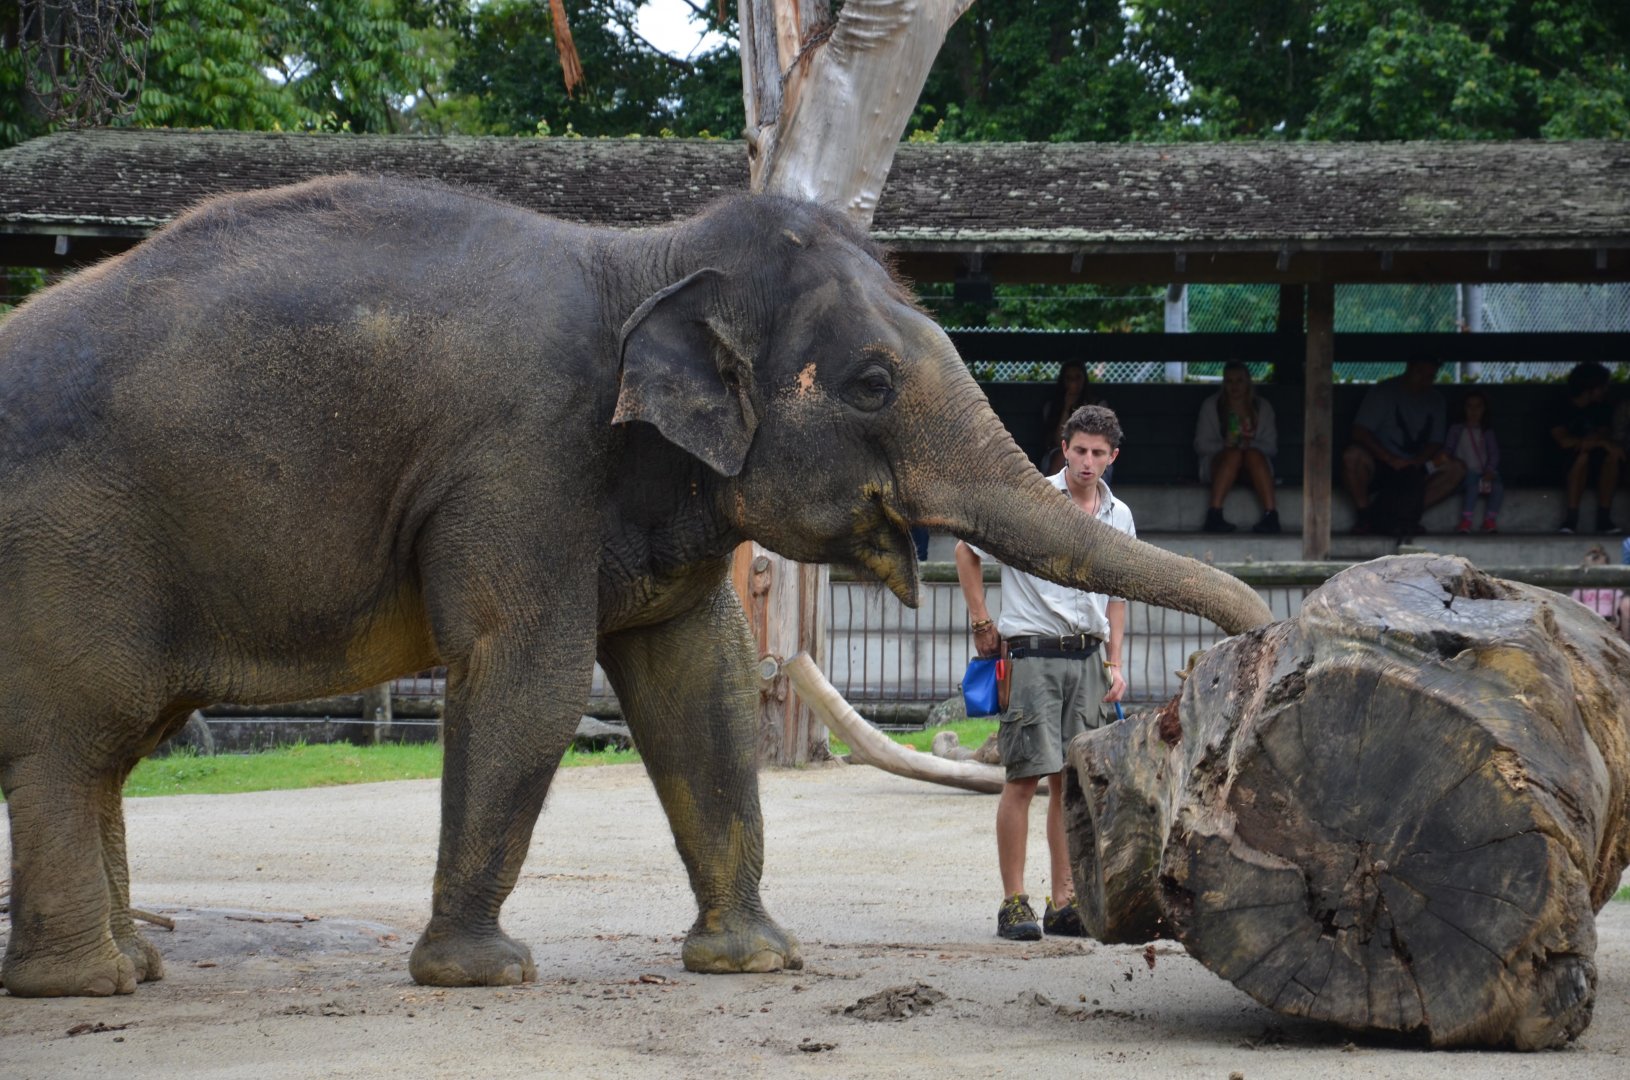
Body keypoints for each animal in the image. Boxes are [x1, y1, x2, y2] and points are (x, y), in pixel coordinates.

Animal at [0, 174, 1273, 997]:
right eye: (868, 384)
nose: (1256, 641)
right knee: (82, 735)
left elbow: (697, 676)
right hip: (71, 542)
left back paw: (132, 967)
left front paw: (756, 961)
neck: (646, 255)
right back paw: (90, 986)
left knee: (111, 743)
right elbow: (531, 670)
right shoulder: (522, 460)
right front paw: (481, 976)